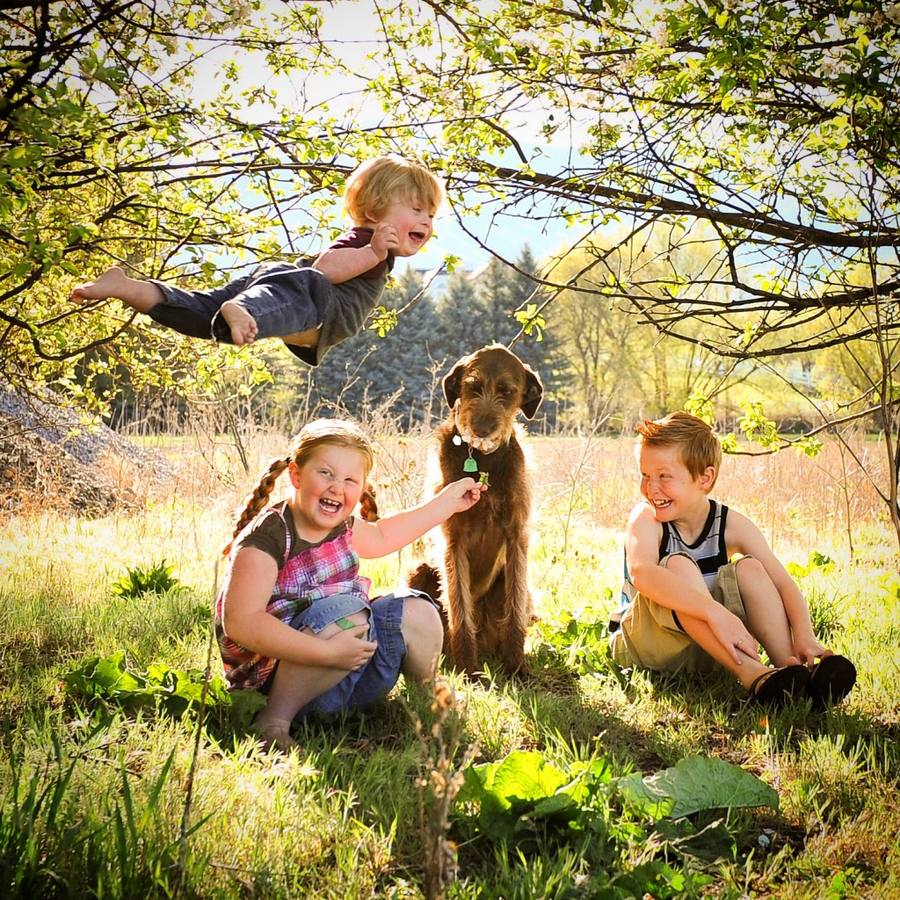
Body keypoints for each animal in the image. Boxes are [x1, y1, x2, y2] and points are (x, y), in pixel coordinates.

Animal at [408, 342, 540, 676]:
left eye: (507, 391)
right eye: (473, 387)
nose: (481, 429)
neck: (483, 462)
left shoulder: (517, 536)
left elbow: (514, 612)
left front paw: (516, 667)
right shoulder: (452, 542)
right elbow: (459, 610)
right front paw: (469, 670)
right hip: (420, 569)